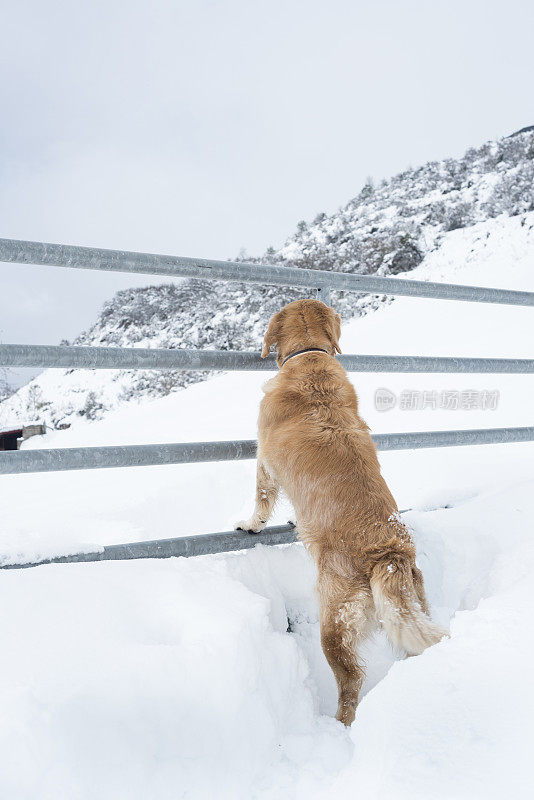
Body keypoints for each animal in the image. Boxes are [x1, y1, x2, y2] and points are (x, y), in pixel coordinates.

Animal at [237, 298, 450, 724]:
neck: (309, 356)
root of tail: (388, 552)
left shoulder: (264, 459)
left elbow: (261, 498)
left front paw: (250, 524)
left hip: (334, 622)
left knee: (351, 681)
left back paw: (339, 725)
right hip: (413, 602)